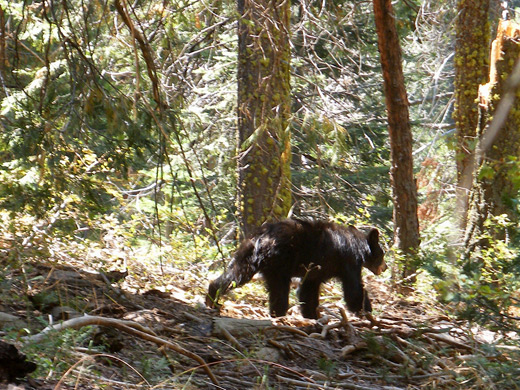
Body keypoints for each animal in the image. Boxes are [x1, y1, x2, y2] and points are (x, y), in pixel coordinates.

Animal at [207, 218, 386, 318]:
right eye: (382, 254)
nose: (385, 267)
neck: (359, 246)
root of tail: (261, 236)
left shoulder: (316, 271)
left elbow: (307, 289)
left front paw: (311, 315)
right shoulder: (349, 262)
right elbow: (354, 290)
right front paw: (366, 311)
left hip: (246, 254)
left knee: (235, 274)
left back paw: (212, 297)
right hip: (279, 261)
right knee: (279, 288)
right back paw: (278, 313)